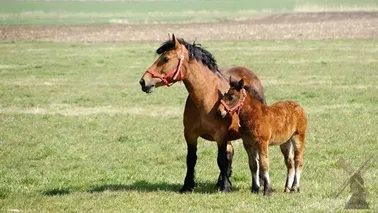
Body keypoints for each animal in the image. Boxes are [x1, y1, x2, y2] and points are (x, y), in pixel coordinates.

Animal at [137, 34, 264, 192]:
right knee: (231, 152)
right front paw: (187, 185)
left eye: (165, 58)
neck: (206, 97)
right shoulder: (190, 134)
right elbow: (191, 159)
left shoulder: (221, 136)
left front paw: (224, 187)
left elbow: (221, 160)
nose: (143, 81)